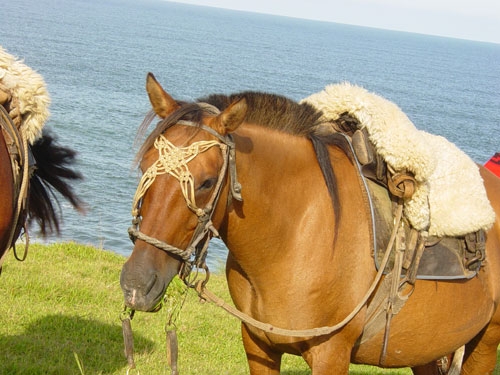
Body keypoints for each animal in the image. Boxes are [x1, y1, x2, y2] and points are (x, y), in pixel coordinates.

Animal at [121, 72, 500, 374]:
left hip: (485, 342)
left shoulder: (331, 354)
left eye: (206, 182)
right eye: (144, 166)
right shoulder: (258, 345)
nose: (137, 283)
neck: (293, 237)